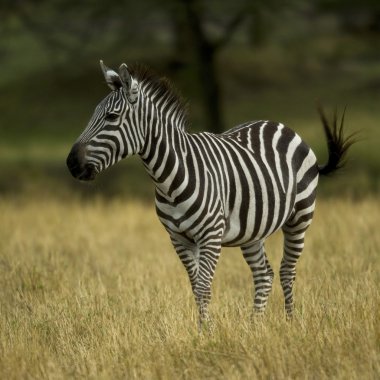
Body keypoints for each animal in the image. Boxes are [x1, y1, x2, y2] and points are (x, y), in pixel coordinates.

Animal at [67, 61, 354, 326]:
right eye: (94, 114)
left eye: (111, 117)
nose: (71, 164)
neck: (169, 178)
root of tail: (280, 125)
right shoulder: (178, 238)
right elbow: (196, 287)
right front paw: (204, 330)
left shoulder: (211, 235)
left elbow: (204, 287)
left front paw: (207, 333)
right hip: (253, 231)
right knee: (264, 275)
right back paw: (255, 326)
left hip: (300, 217)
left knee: (287, 271)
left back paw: (290, 323)